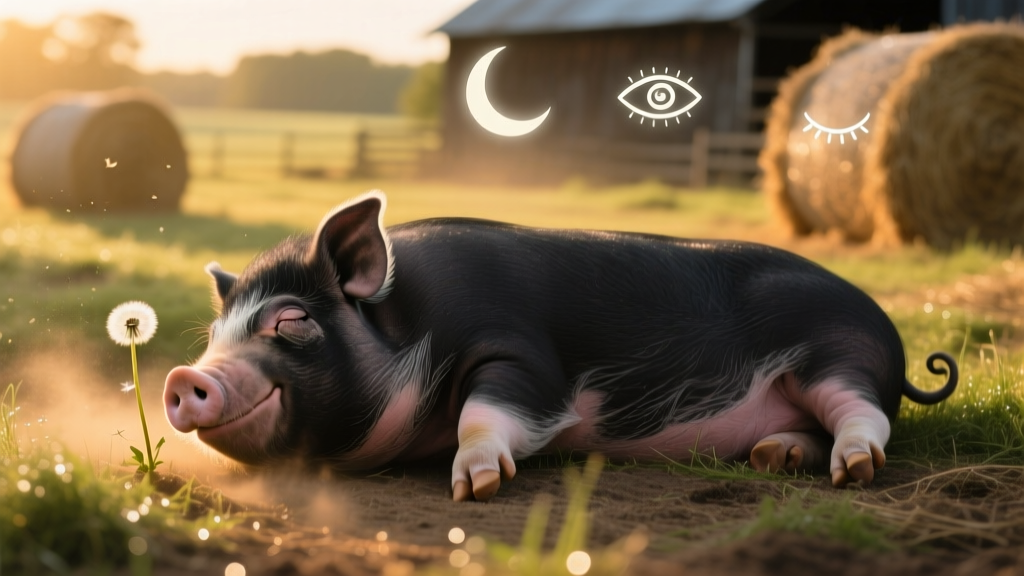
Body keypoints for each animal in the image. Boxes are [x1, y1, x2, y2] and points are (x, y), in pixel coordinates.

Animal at [164, 191, 957, 501]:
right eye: (217, 336)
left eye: (291, 321)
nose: (182, 376)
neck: (412, 323)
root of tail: (887, 329)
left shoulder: (521, 354)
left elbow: (489, 413)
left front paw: (474, 486)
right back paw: (773, 457)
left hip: (842, 354)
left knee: (864, 415)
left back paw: (852, 473)